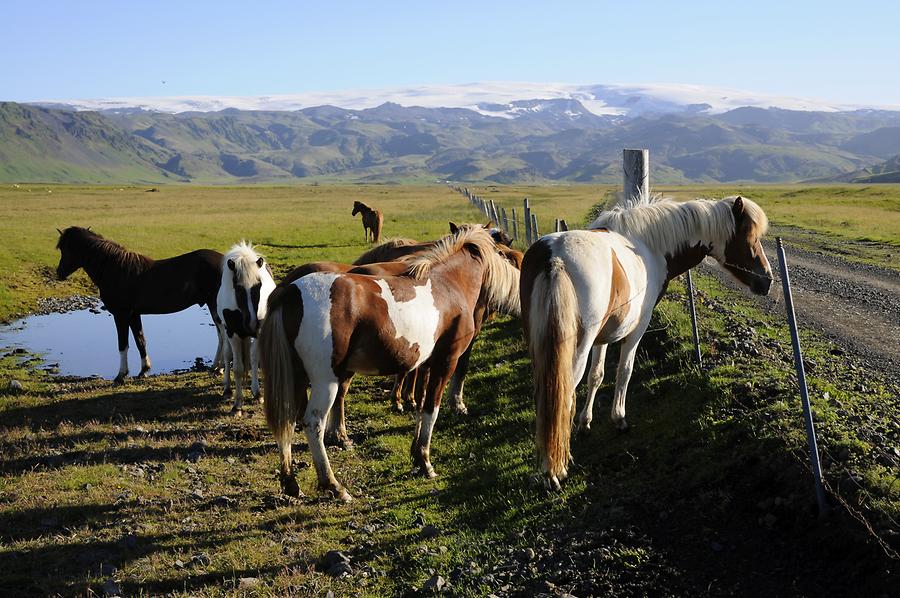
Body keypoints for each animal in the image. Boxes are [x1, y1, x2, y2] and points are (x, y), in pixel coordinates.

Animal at [55, 227, 227, 386]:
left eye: (65, 249)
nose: (59, 272)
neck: (114, 270)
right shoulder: (133, 314)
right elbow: (140, 341)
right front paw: (144, 370)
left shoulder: (121, 315)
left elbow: (123, 344)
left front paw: (121, 375)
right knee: (221, 335)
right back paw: (215, 367)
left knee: (223, 334)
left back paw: (219, 368)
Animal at [216, 243, 276, 418]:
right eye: (238, 288)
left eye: (259, 286)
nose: (251, 324)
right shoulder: (233, 333)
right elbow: (237, 368)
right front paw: (237, 405)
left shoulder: (258, 333)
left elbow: (255, 360)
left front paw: (258, 394)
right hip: (226, 332)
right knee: (227, 354)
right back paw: (227, 390)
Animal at [520, 197, 772, 492]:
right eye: (750, 237)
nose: (767, 281)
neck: (648, 247)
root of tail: (555, 258)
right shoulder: (636, 329)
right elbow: (624, 372)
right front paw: (619, 419)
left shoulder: (603, 337)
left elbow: (597, 375)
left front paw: (585, 422)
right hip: (576, 351)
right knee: (564, 395)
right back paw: (555, 470)